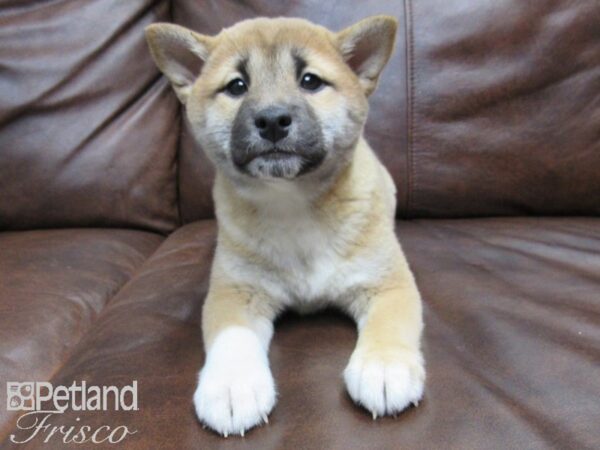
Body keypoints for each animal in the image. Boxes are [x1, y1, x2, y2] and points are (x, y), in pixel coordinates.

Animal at [146, 14, 424, 436]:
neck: (292, 204)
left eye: (310, 81)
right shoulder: (236, 291)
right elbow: (232, 335)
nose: (273, 120)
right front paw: (232, 386)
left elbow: (390, 323)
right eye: (237, 86)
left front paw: (385, 366)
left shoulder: (388, 283)